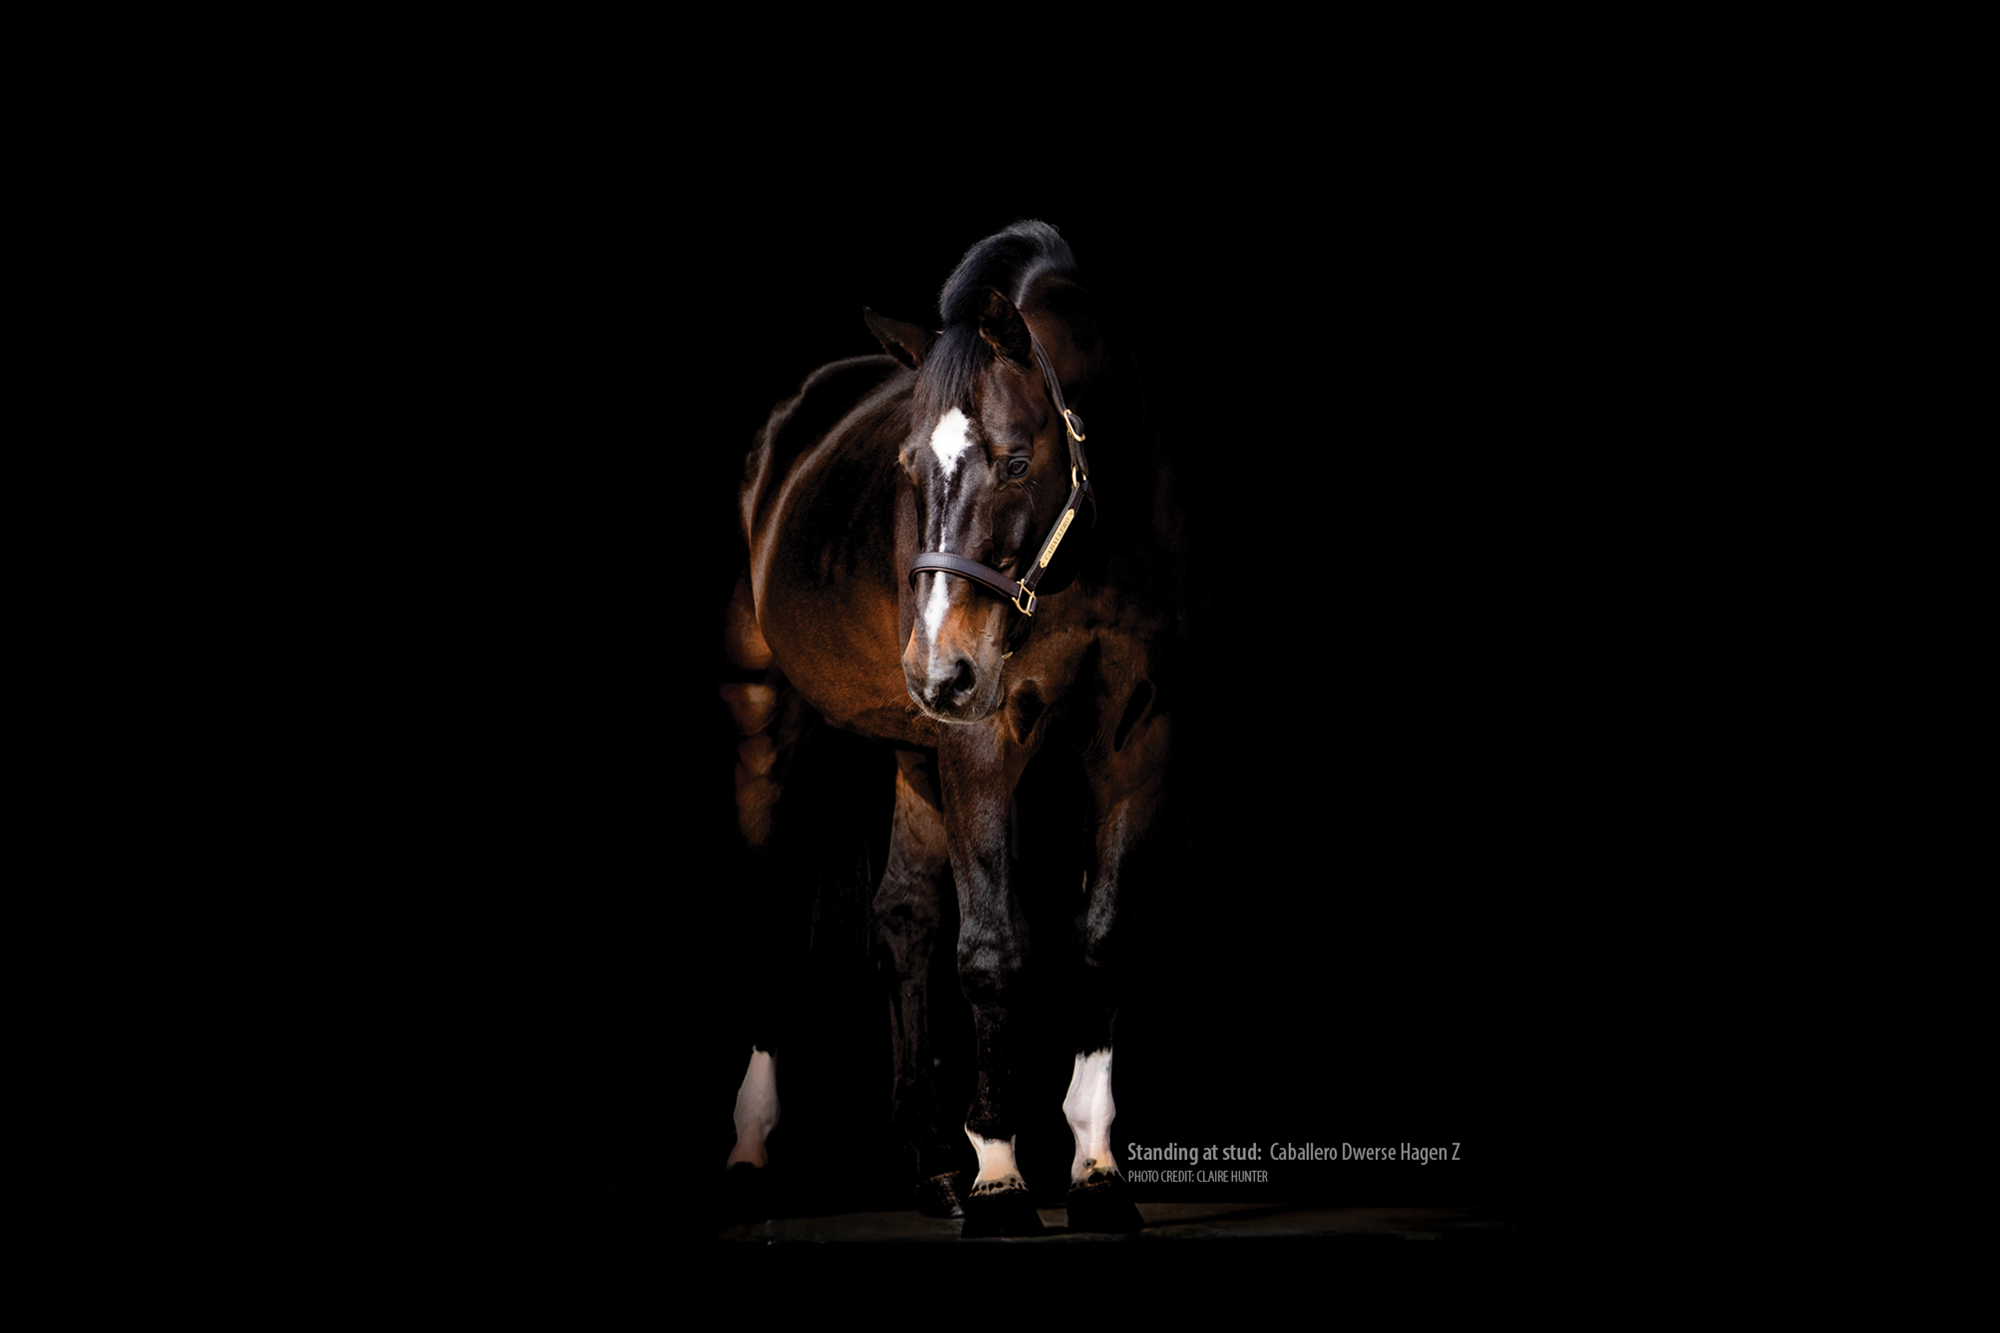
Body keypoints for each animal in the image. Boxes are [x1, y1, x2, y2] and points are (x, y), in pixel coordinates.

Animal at [718, 220, 1181, 1235]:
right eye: (905, 469)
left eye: (1014, 460)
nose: (941, 669)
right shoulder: (980, 740)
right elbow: (993, 947)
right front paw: (1001, 1176)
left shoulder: (1135, 741)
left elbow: (1101, 937)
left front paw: (1095, 1170)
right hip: (772, 720)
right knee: (775, 920)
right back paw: (752, 1153)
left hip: (912, 747)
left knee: (900, 919)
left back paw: (930, 1164)